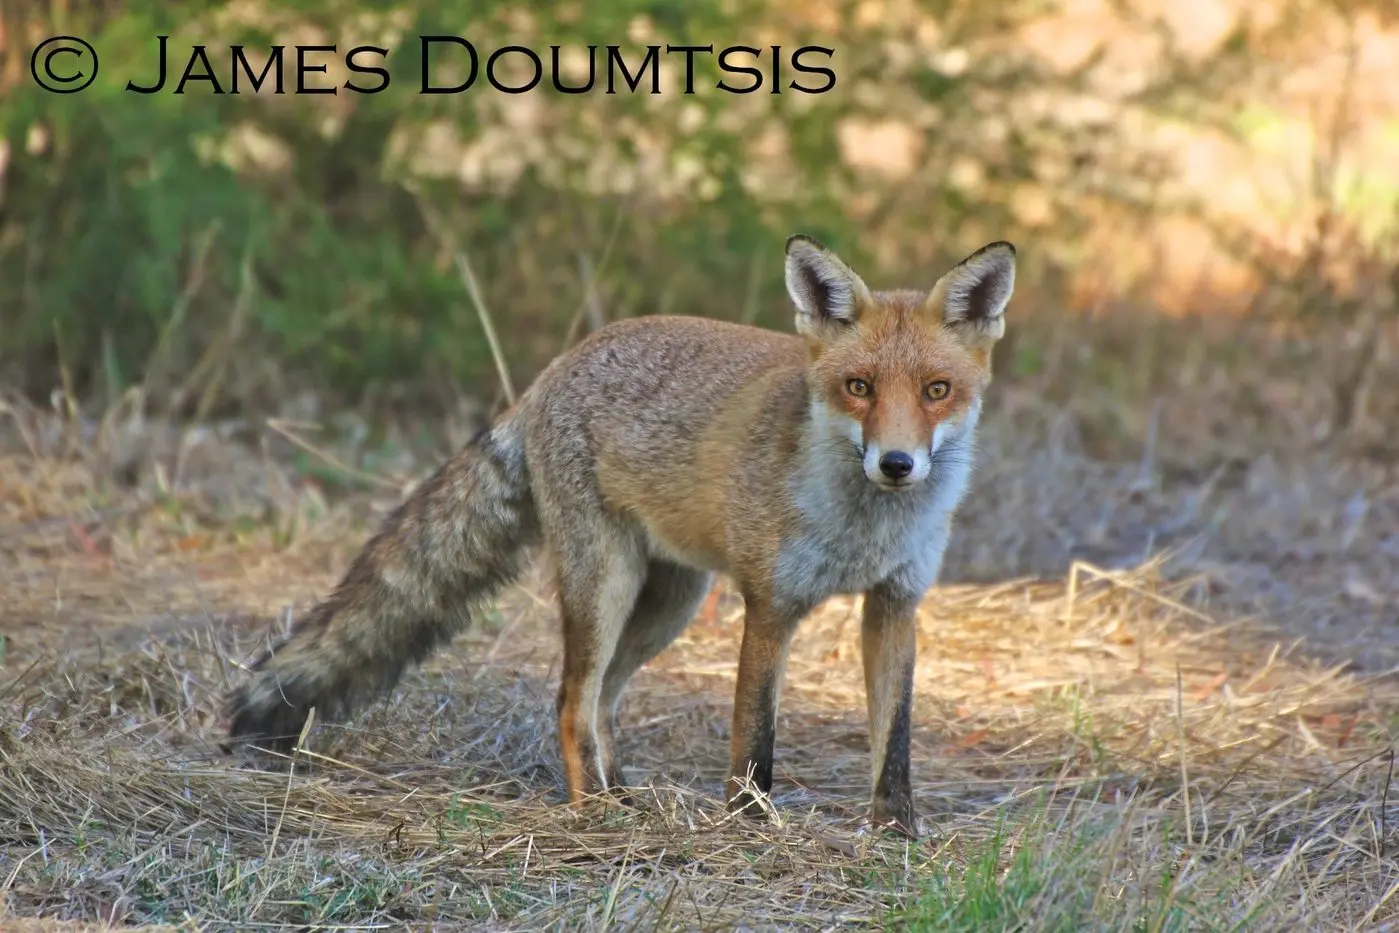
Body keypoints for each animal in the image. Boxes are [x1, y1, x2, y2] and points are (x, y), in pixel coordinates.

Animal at [222, 233, 1016, 837]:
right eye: (858, 387)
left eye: (936, 391)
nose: (896, 463)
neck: (863, 531)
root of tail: (552, 370)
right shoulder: (771, 604)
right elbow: (754, 738)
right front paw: (749, 826)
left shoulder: (896, 602)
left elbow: (896, 737)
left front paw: (896, 830)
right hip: (605, 586)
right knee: (571, 701)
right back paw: (593, 813)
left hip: (668, 602)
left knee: (603, 698)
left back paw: (622, 796)